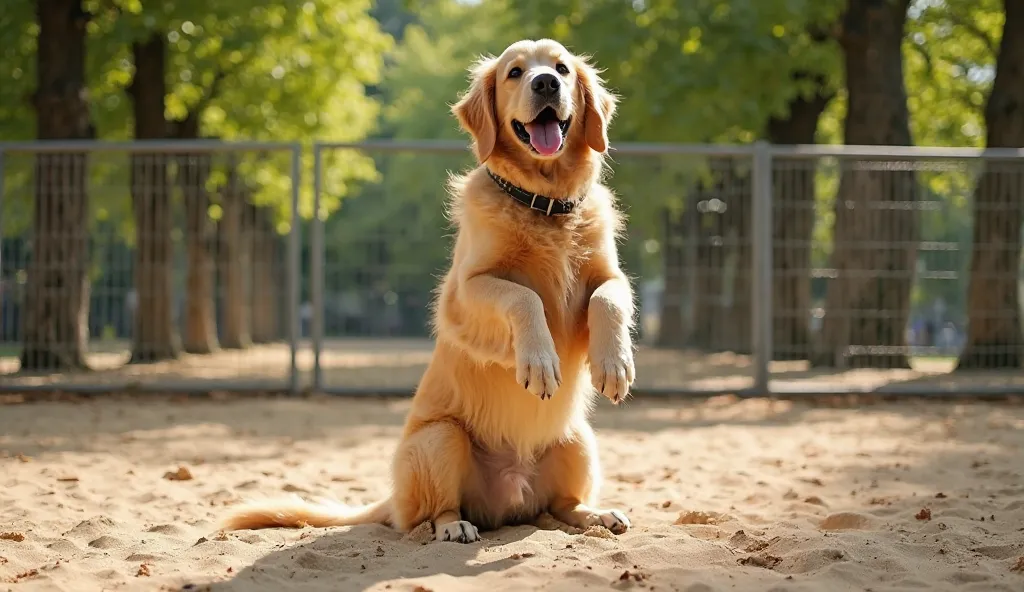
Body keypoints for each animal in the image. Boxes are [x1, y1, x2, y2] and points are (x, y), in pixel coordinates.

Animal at [222, 39, 630, 540]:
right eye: (515, 73)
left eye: (562, 68)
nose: (546, 83)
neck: (545, 203)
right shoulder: (465, 291)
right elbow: (524, 296)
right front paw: (539, 361)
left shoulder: (609, 274)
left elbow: (608, 297)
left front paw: (614, 365)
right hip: (441, 437)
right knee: (435, 512)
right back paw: (454, 527)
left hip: (577, 440)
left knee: (561, 506)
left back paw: (597, 515)